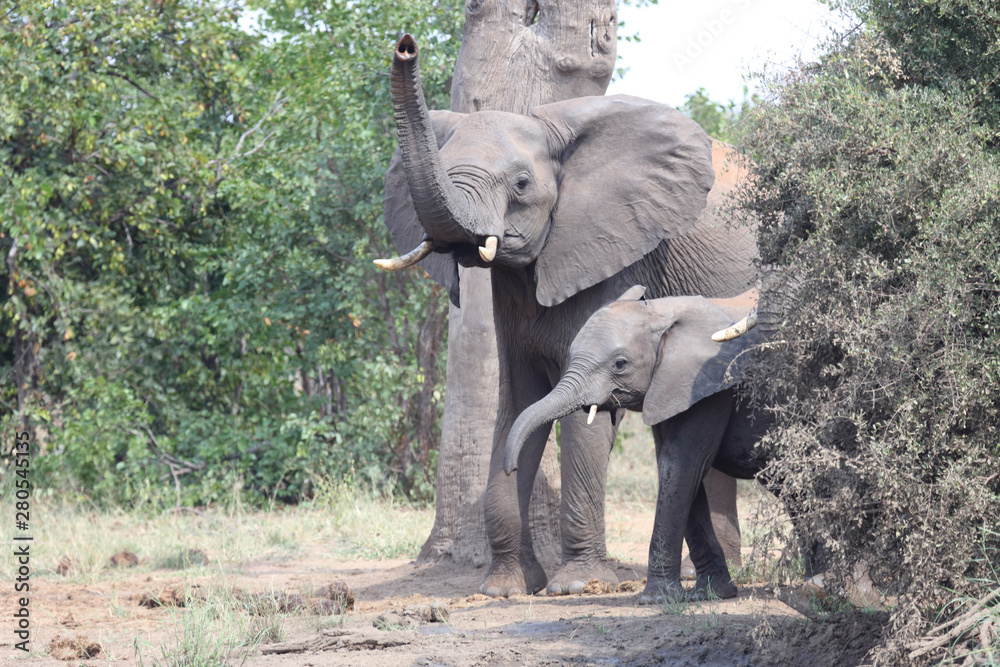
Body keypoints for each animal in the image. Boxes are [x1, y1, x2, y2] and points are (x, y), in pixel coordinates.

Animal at [503, 286, 766, 603]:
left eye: (620, 364)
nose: (510, 468)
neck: (663, 311)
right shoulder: (670, 388)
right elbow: (676, 469)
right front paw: (712, 594)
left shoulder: (709, 385)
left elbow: (681, 465)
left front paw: (656, 600)